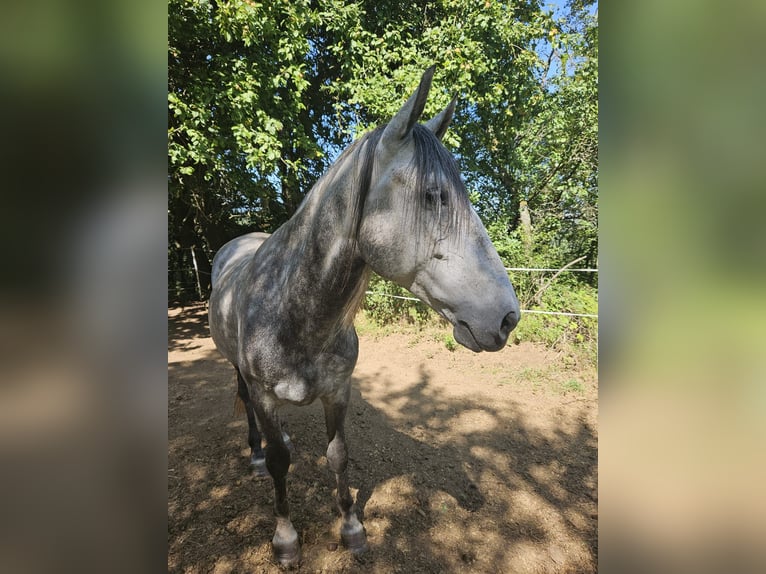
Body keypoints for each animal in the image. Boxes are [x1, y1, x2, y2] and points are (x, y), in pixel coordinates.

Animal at [208, 66, 520, 568]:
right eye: (434, 195)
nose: (508, 317)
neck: (298, 317)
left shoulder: (339, 392)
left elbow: (338, 456)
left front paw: (351, 529)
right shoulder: (266, 396)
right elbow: (279, 467)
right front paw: (286, 540)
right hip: (239, 373)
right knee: (251, 415)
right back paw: (255, 453)